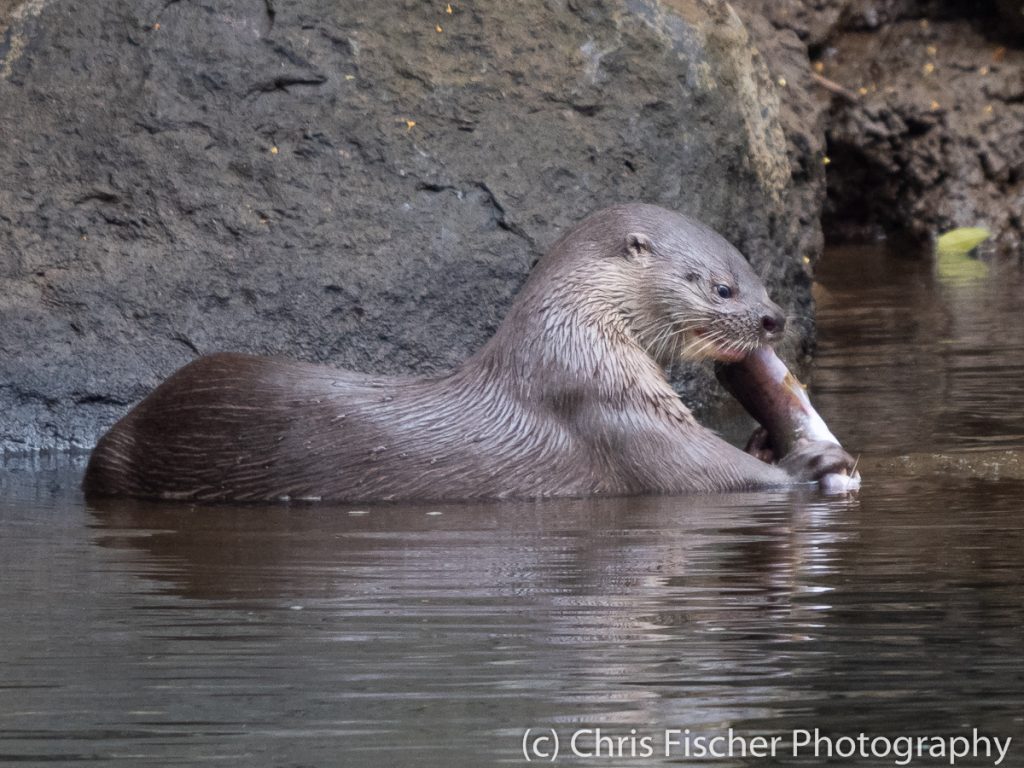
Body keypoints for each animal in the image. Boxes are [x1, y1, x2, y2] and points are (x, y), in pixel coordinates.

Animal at [83, 205, 856, 505]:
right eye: (722, 286)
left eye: (756, 272)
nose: (773, 317)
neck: (576, 341)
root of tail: (118, 433)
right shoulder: (608, 411)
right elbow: (703, 473)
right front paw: (810, 463)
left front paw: (768, 437)